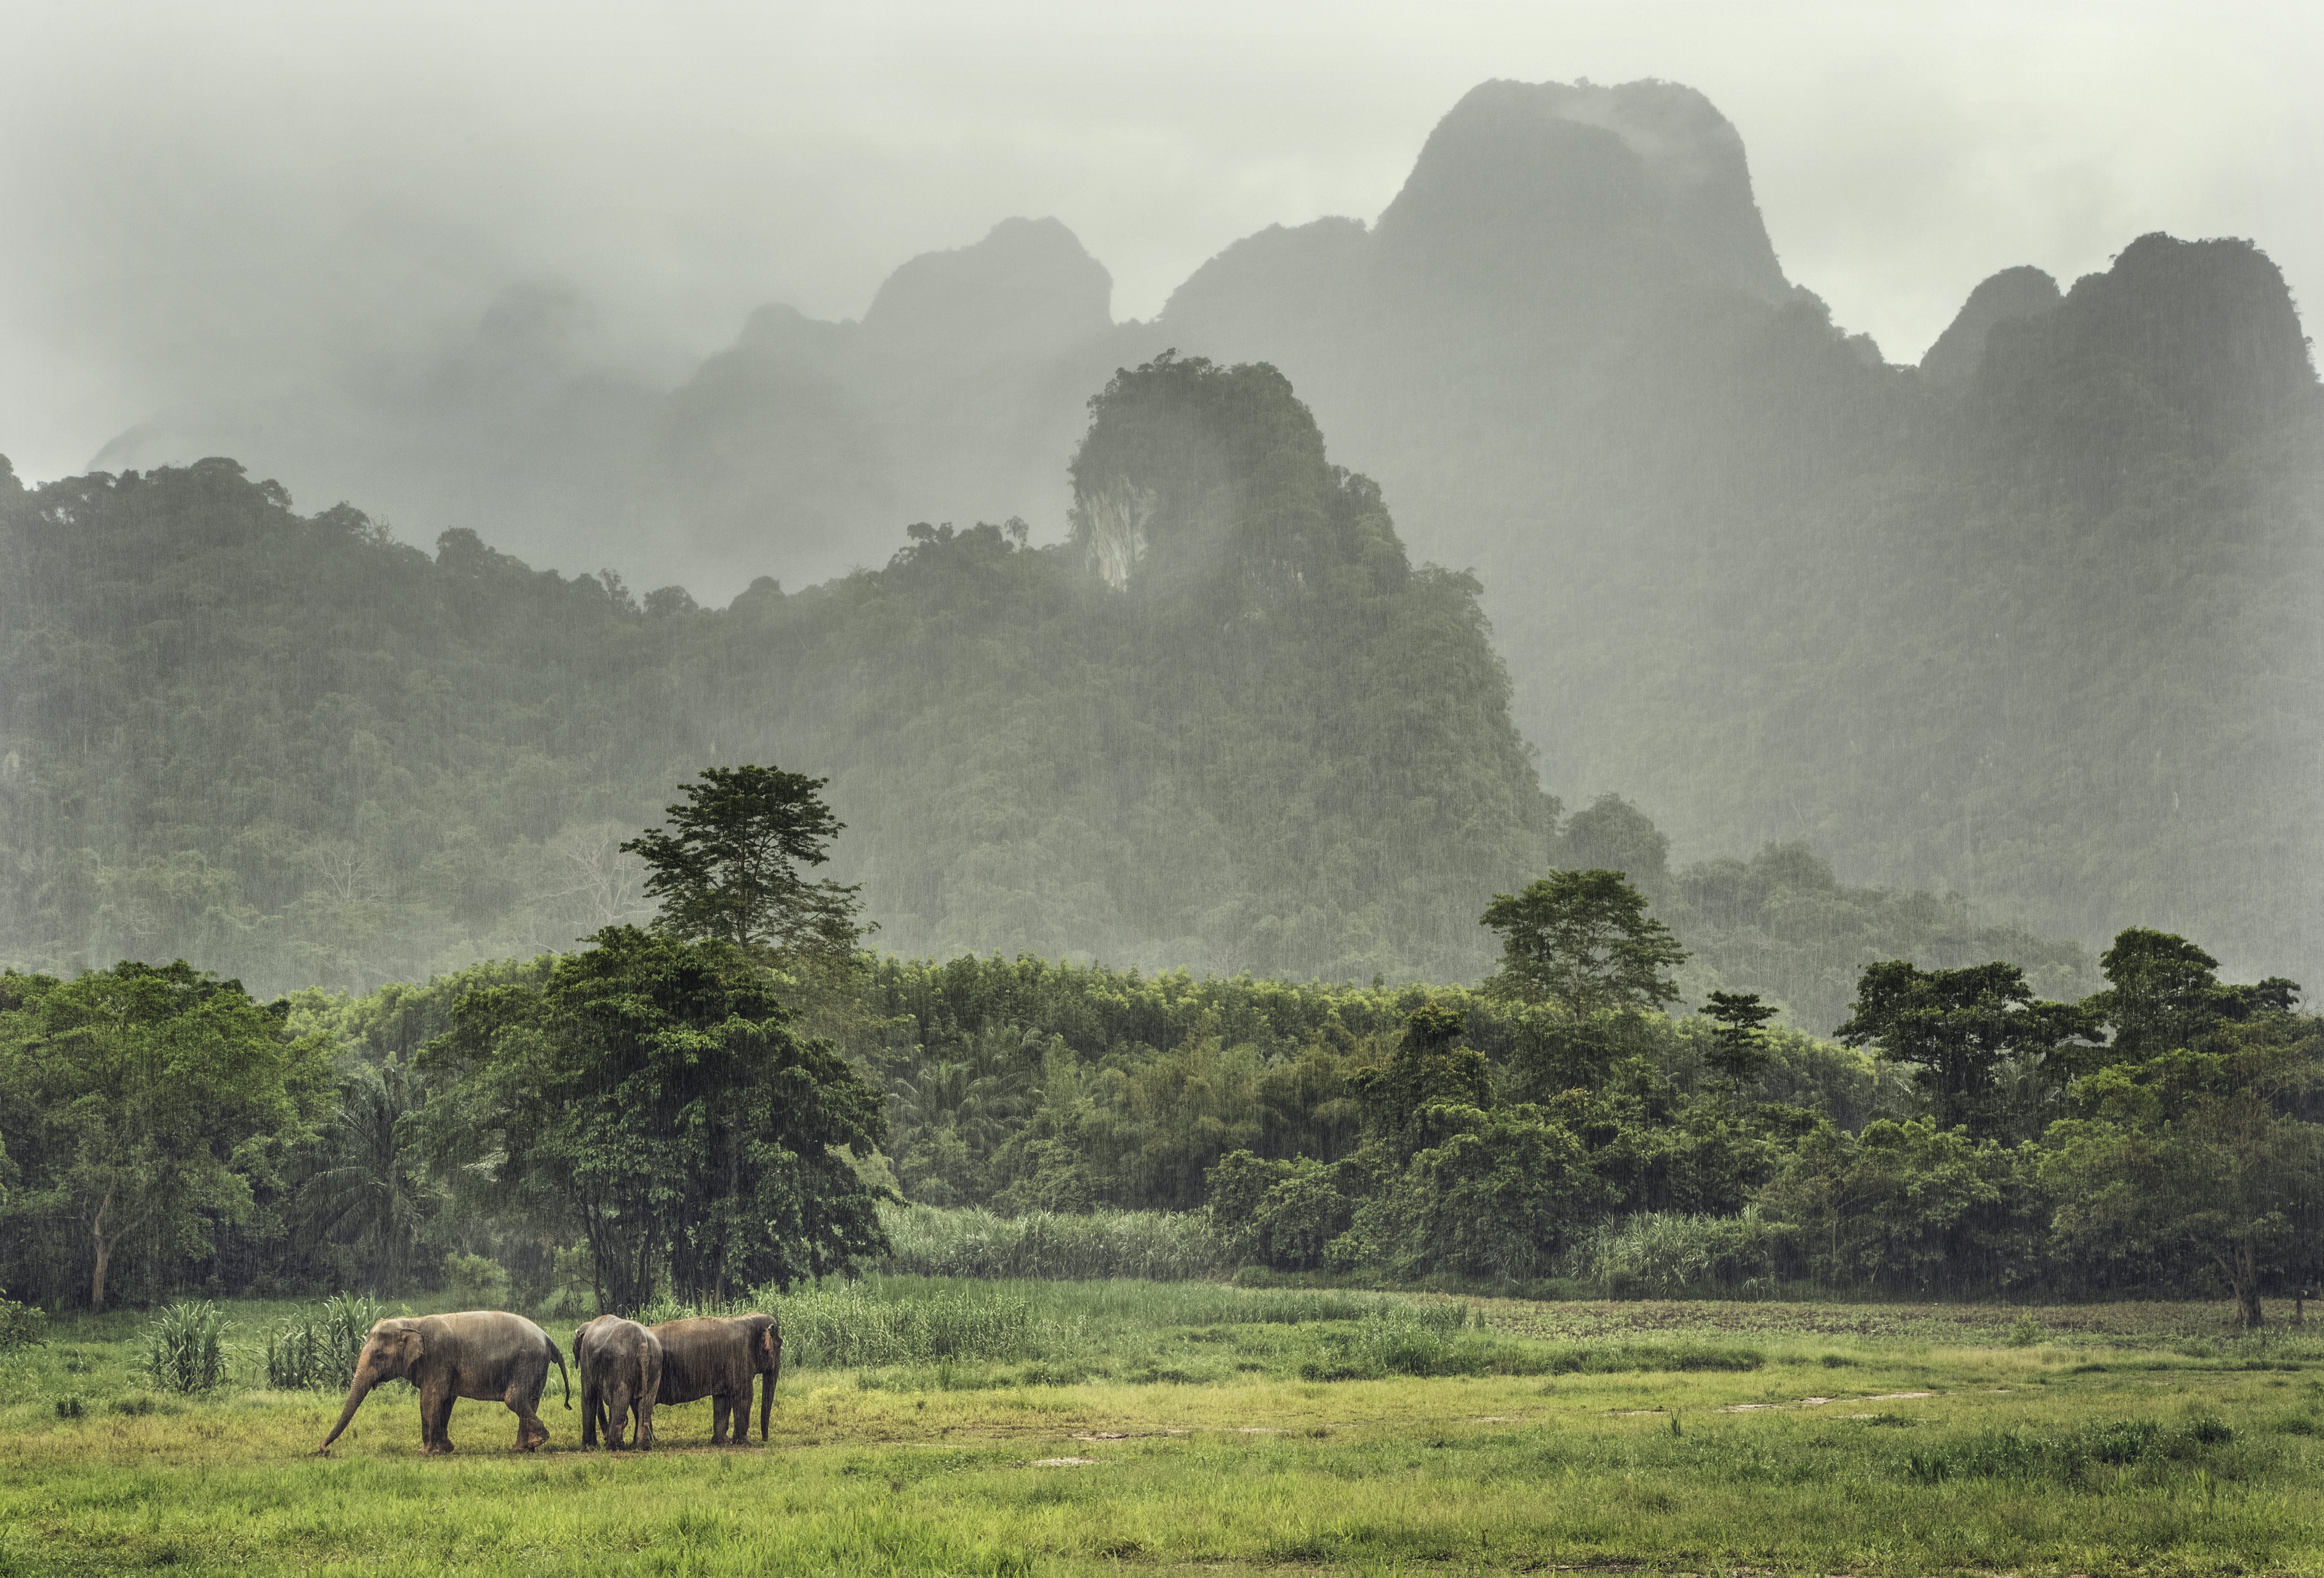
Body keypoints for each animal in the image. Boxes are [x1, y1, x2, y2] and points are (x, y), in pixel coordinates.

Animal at [318, 1311, 570, 1456]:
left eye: (379, 1356)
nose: (323, 1450)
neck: (412, 1323)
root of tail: (548, 1338)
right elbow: (446, 1400)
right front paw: (446, 1449)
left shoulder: (437, 1358)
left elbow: (430, 1398)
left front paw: (425, 1452)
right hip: (535, 1366)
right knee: (530, 1400)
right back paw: (522, 1448)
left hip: (528, 1362)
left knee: (514, 1399)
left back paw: (537, 1441)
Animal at [573, 1314, 662, 1450]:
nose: (604, 1438)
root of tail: (643, 1344)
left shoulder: (586, 1359)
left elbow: (589, 1395)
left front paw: (587, 1447)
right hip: (656, 1363)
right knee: (645, 1401)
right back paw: (642, 1446)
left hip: (621, 1364)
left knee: (620, 1399)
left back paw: (613, 1446)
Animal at [649, 1313, 782, 1444]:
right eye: (780, 1343)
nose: (764, 1440)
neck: (747, 1319)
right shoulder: (740, 1359)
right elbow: (745, 1396)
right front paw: (745, 1442)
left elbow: (722, 1398)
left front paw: (723, 1441)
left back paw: (654, 1441)